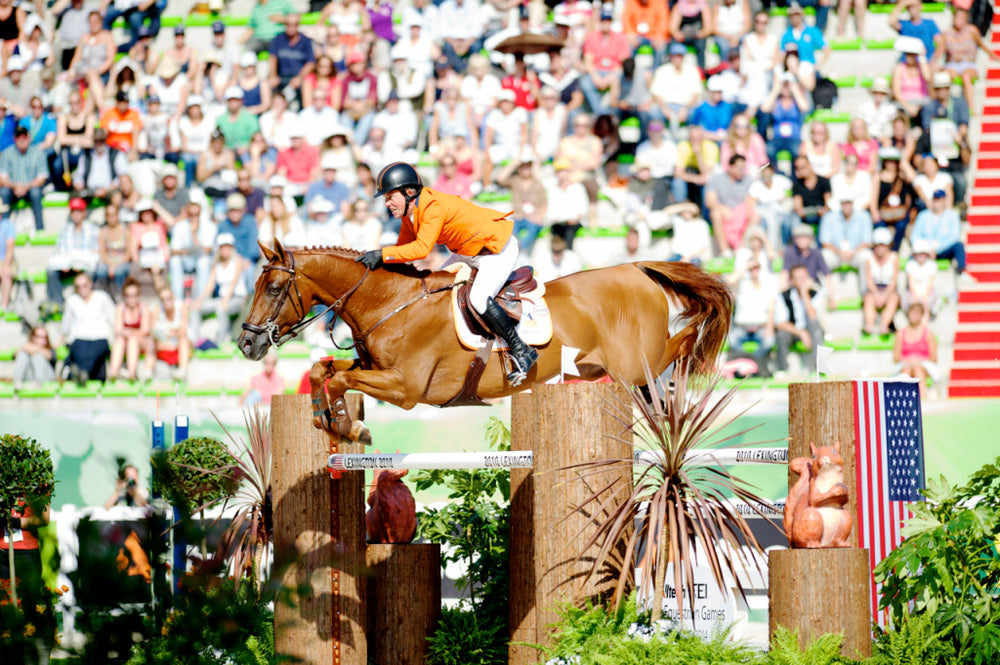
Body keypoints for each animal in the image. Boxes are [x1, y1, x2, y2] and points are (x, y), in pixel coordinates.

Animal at [238, 240, 733, 442]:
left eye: (275, 289)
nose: (246, 345)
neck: (390, 303)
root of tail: (635, 269)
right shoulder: (376, 370)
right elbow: (323, 369)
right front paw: (325, 420)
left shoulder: (405, 388)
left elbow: (339, 381)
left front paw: (349, 427)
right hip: (602, 369)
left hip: (635, 363)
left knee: (680, 345)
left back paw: (692, 359)